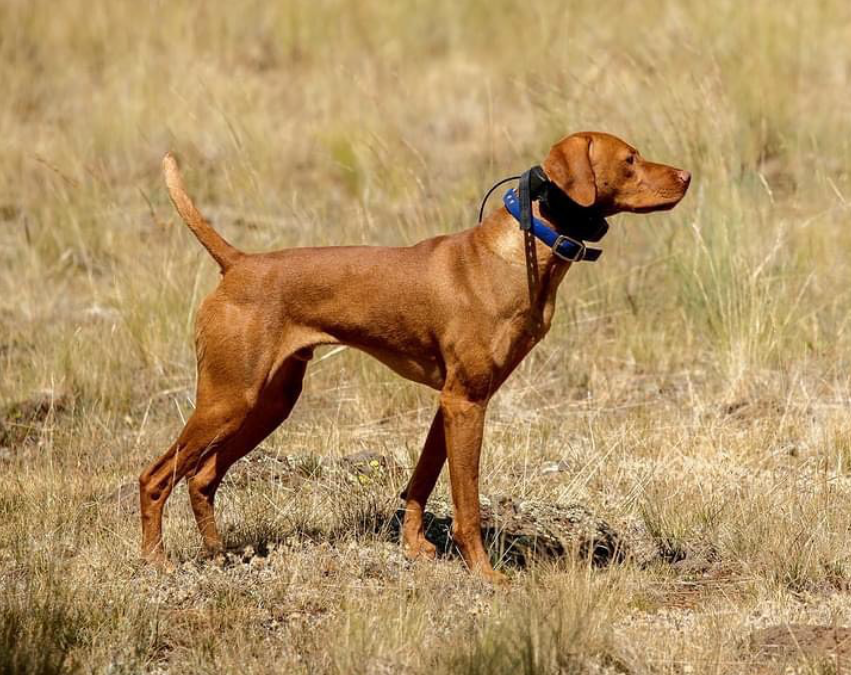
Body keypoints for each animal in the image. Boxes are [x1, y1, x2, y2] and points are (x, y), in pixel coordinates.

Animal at [140, 131, 690, 583]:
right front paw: (485, 574)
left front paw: (414, 548)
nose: (686, 176)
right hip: (227, 400)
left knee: (203, 477)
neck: (521, 250)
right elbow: (468, 502)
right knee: (155, 477)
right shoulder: (466, 402)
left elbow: (421, 481)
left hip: (268, 403)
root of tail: (238, 264)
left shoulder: (453, 401)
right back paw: (156, 563)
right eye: (631, 159)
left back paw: (219, 555)